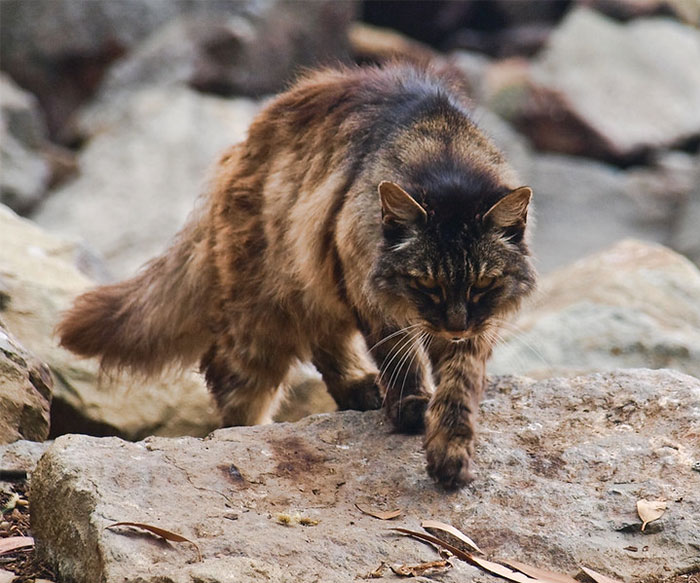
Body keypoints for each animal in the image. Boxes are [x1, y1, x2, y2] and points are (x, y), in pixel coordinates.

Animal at [58, 61, 536, 490]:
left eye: (483, 284)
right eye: (427, 284)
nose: (455, 324)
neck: (444, 158)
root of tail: (241, 147)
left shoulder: (476, 326)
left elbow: (458, 386)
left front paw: (450, 453)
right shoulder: (368, 288)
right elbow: (398, 357)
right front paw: (411, 409)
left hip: (311, 288)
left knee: (323, 342)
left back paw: (360, 390)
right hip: (263, 316)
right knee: (232, 379)